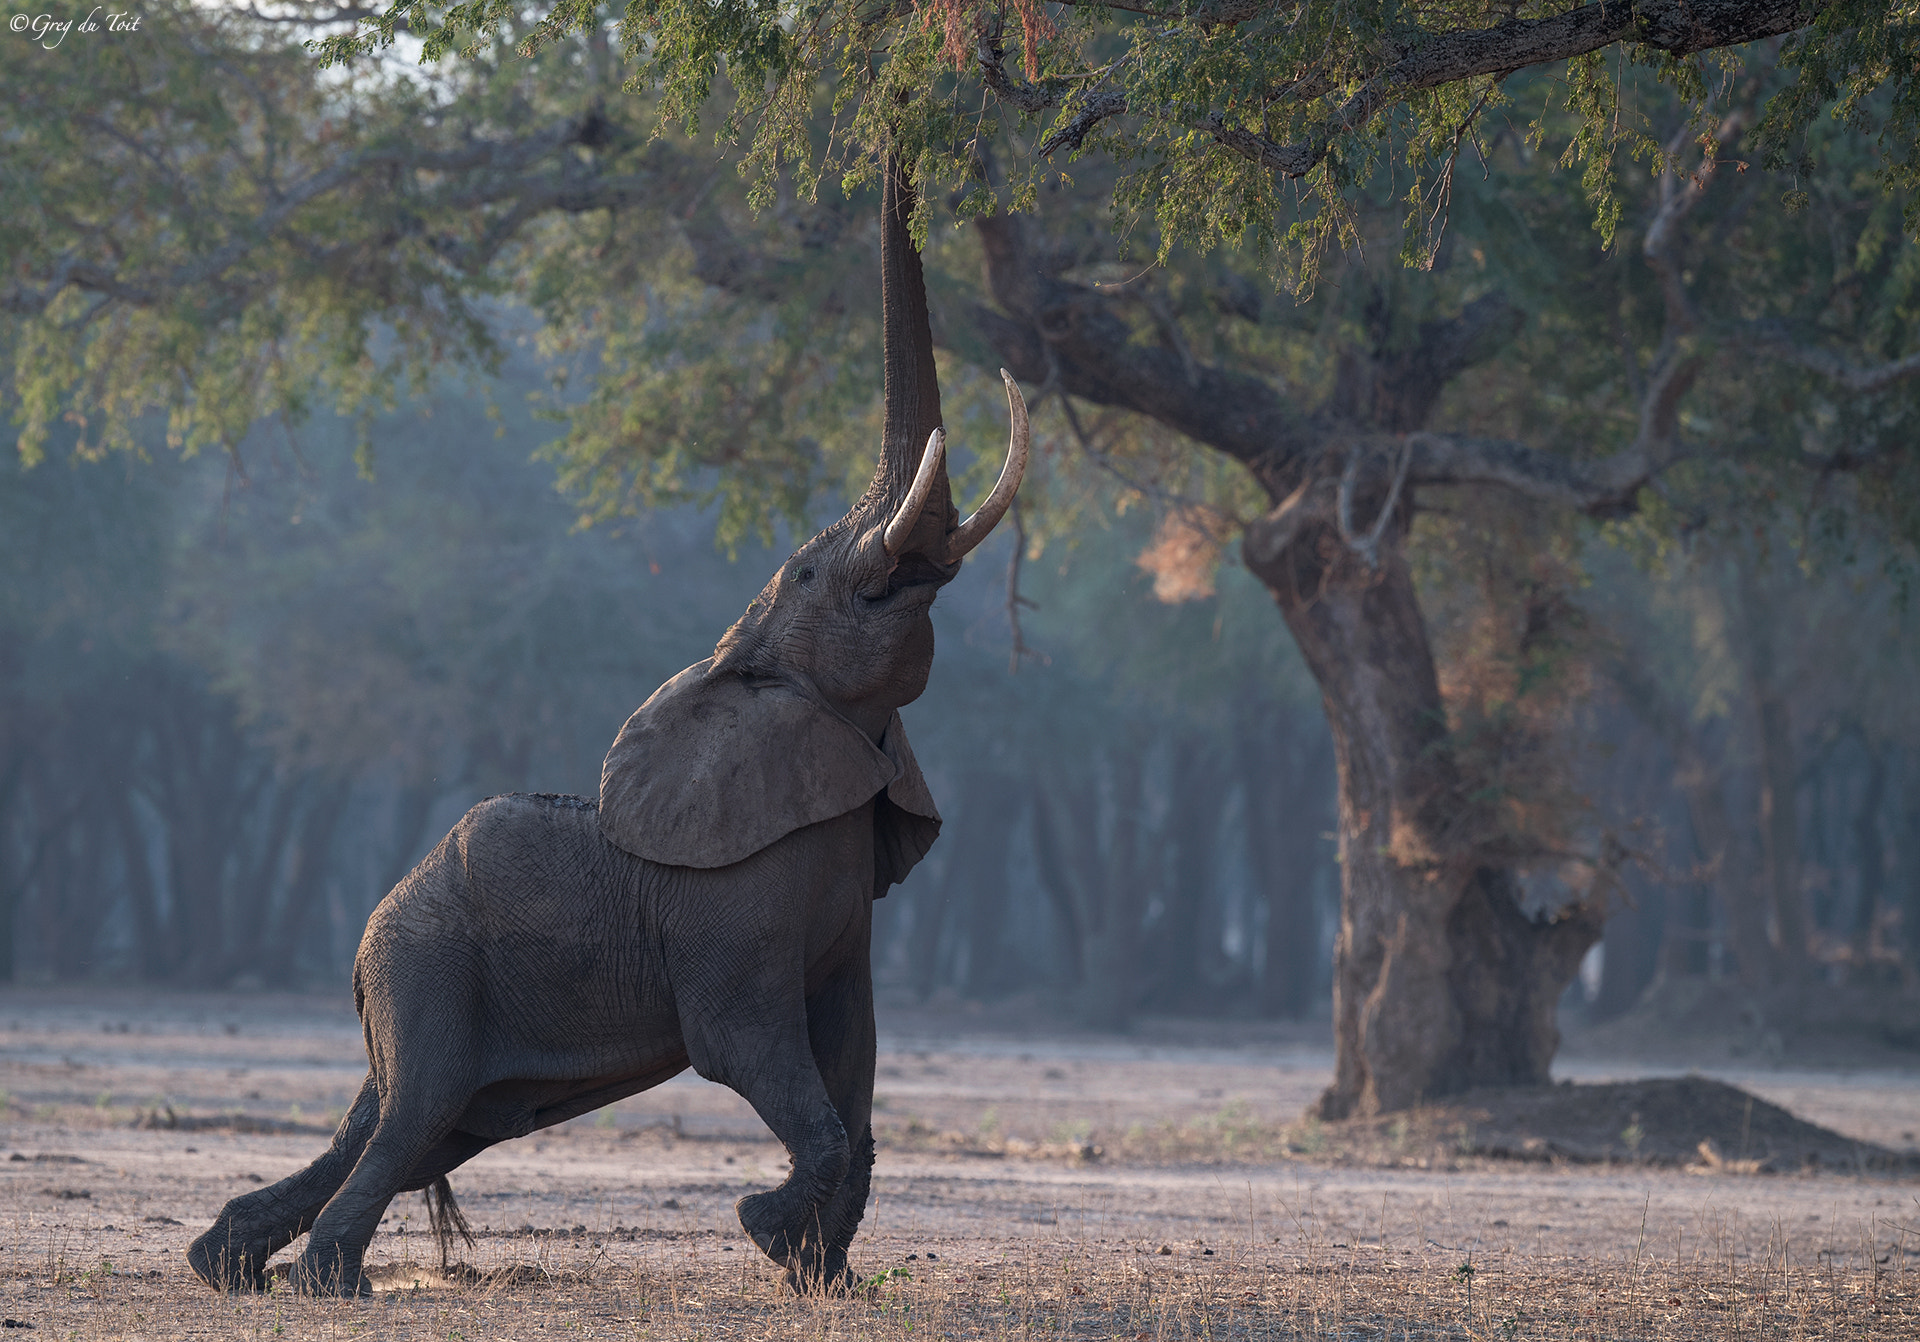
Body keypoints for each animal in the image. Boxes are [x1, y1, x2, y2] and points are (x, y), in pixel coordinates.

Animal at [189, 160, 1029, 1305]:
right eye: (818, 574)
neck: (747, 672)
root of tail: (369, 937)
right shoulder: (729, 912)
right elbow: (754, 1053)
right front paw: (766, 1231)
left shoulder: (842, 905)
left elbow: (853, 1071)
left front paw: (823, 1281)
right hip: (427, 968)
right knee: (411, 1116)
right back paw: (326, 1284)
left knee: (398, 1128)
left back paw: (230, 1265)